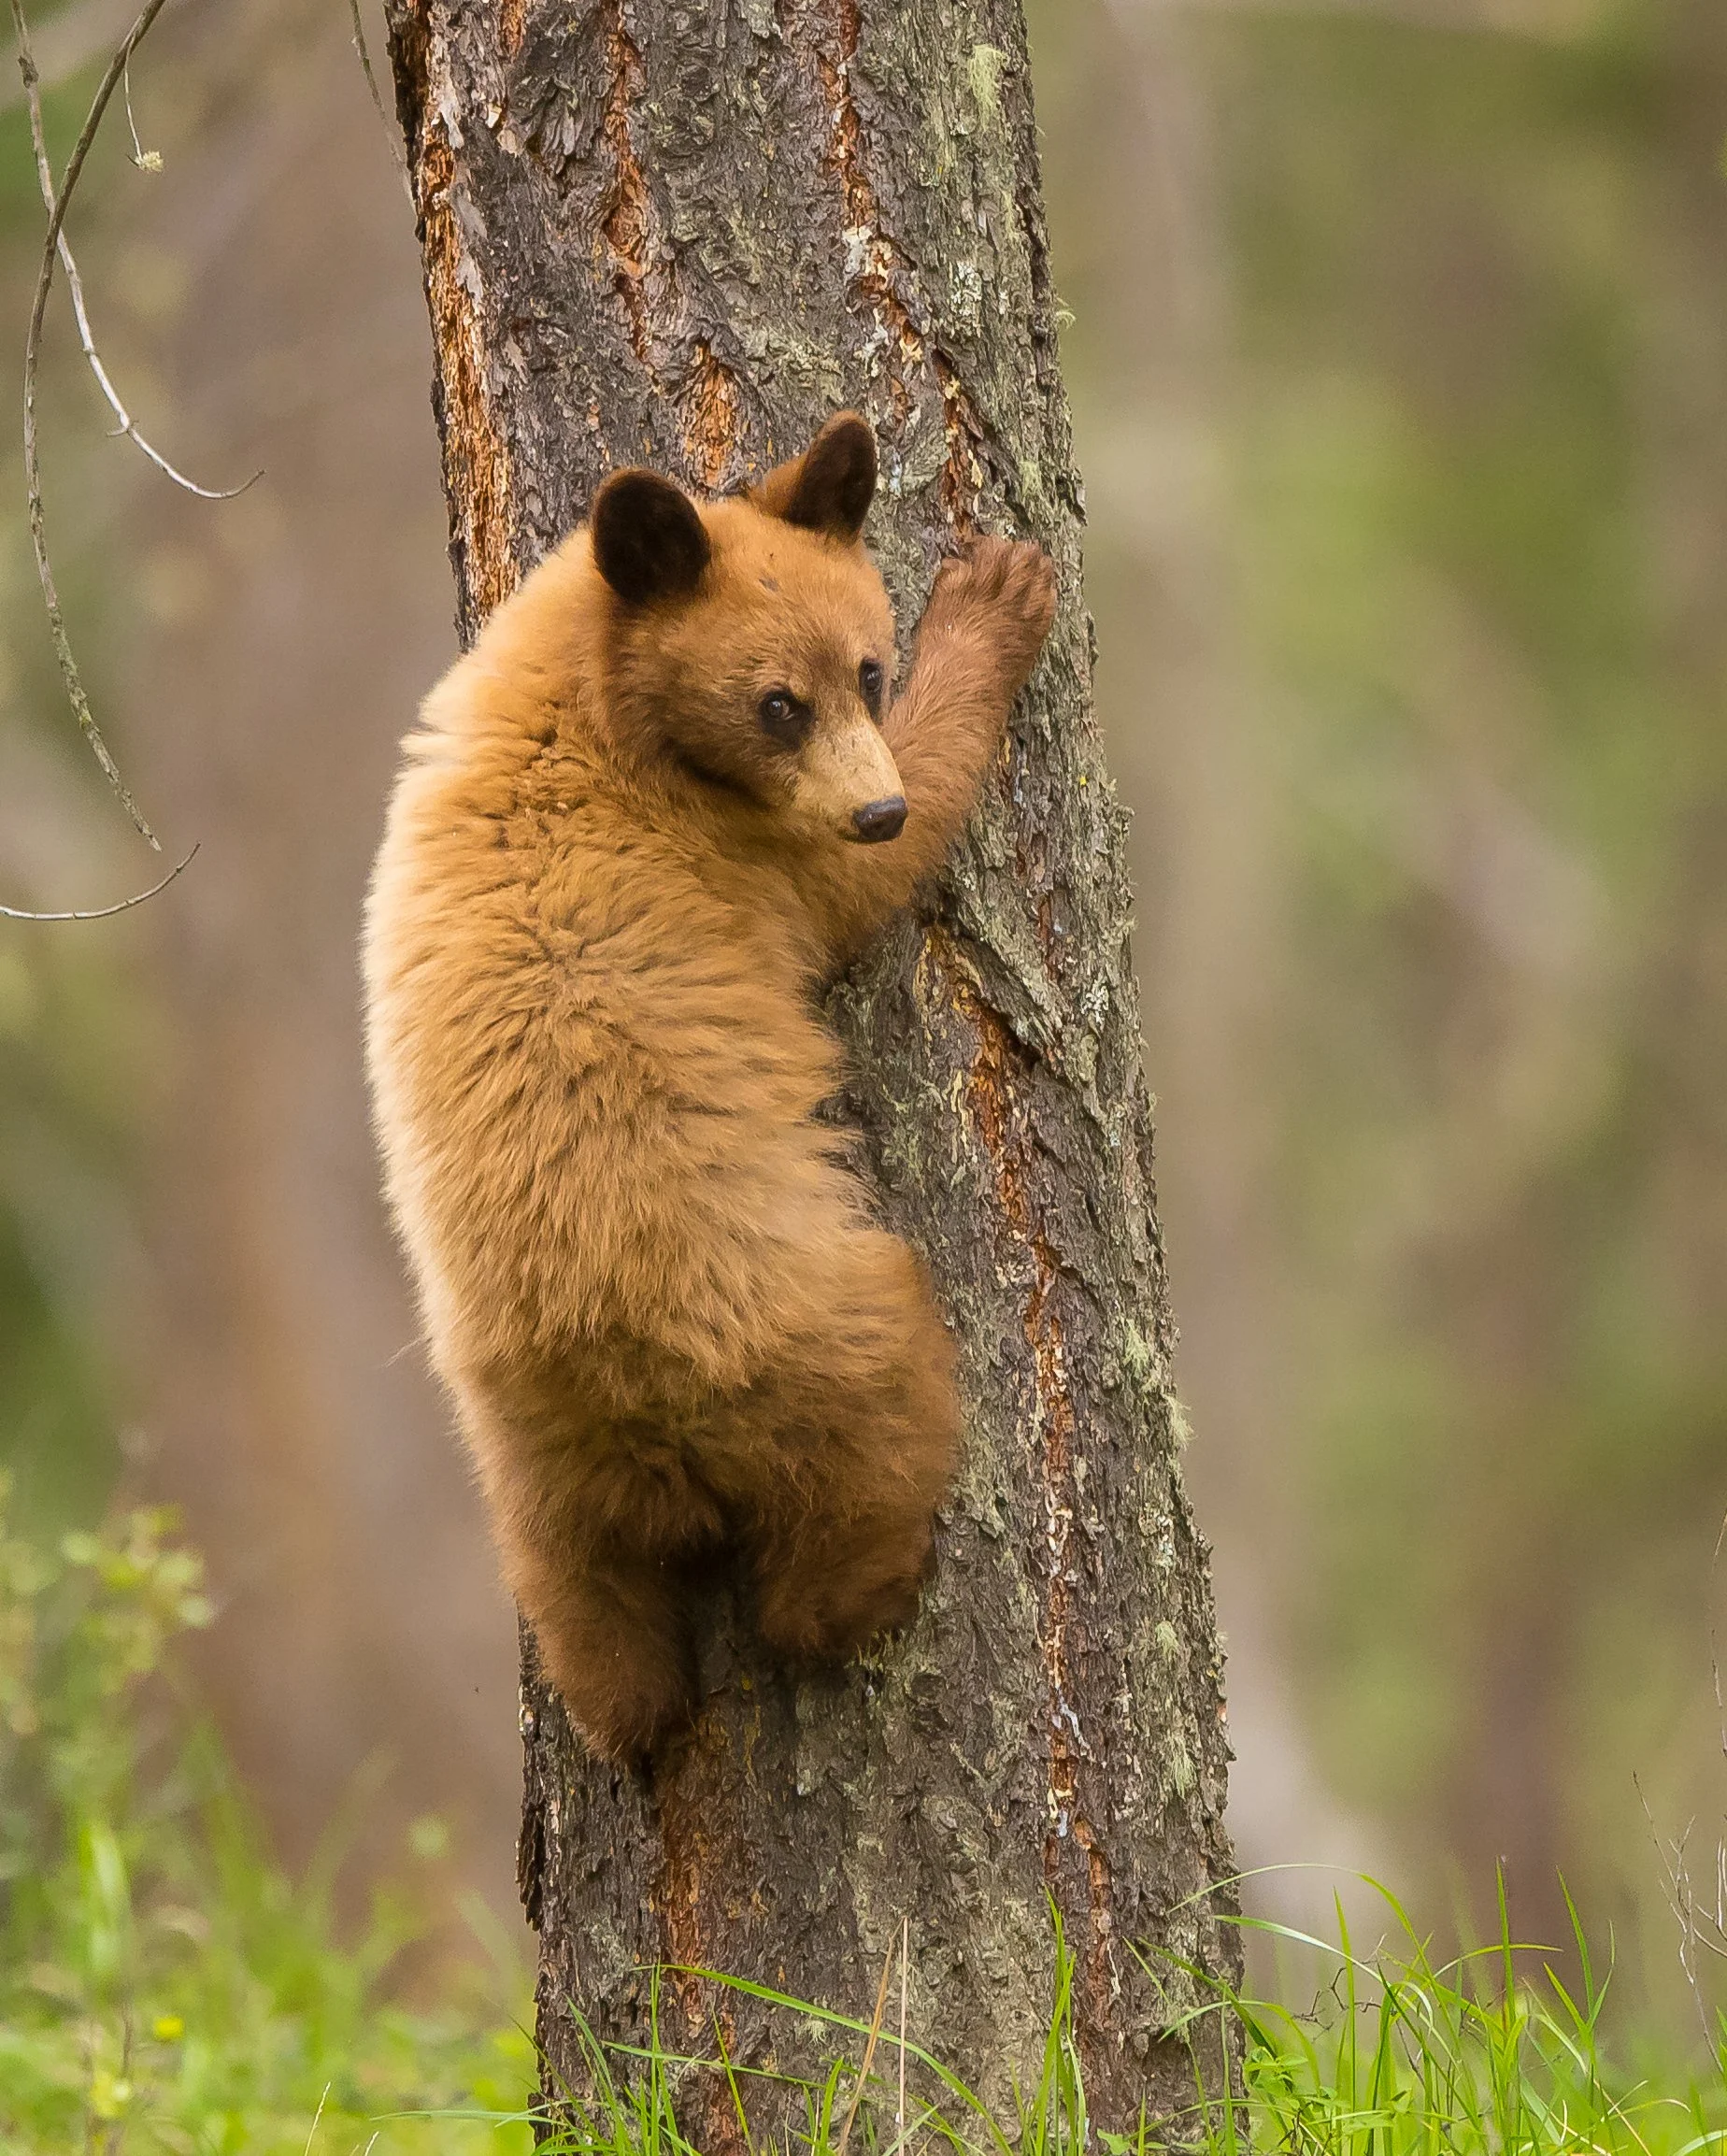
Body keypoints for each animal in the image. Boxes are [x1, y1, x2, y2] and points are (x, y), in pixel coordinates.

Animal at [362, 412, 1057, 1763]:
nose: (875, 806)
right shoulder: (755, 854)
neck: (590, 703)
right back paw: (860, 1594)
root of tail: (639, 1415)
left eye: (867, 670)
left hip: (526, 1469)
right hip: (815, 1319)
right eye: (778, 702)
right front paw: (997, 599)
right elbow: (861, 882)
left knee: (589, 1609)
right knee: (867, 1448)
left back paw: (630, 1714)